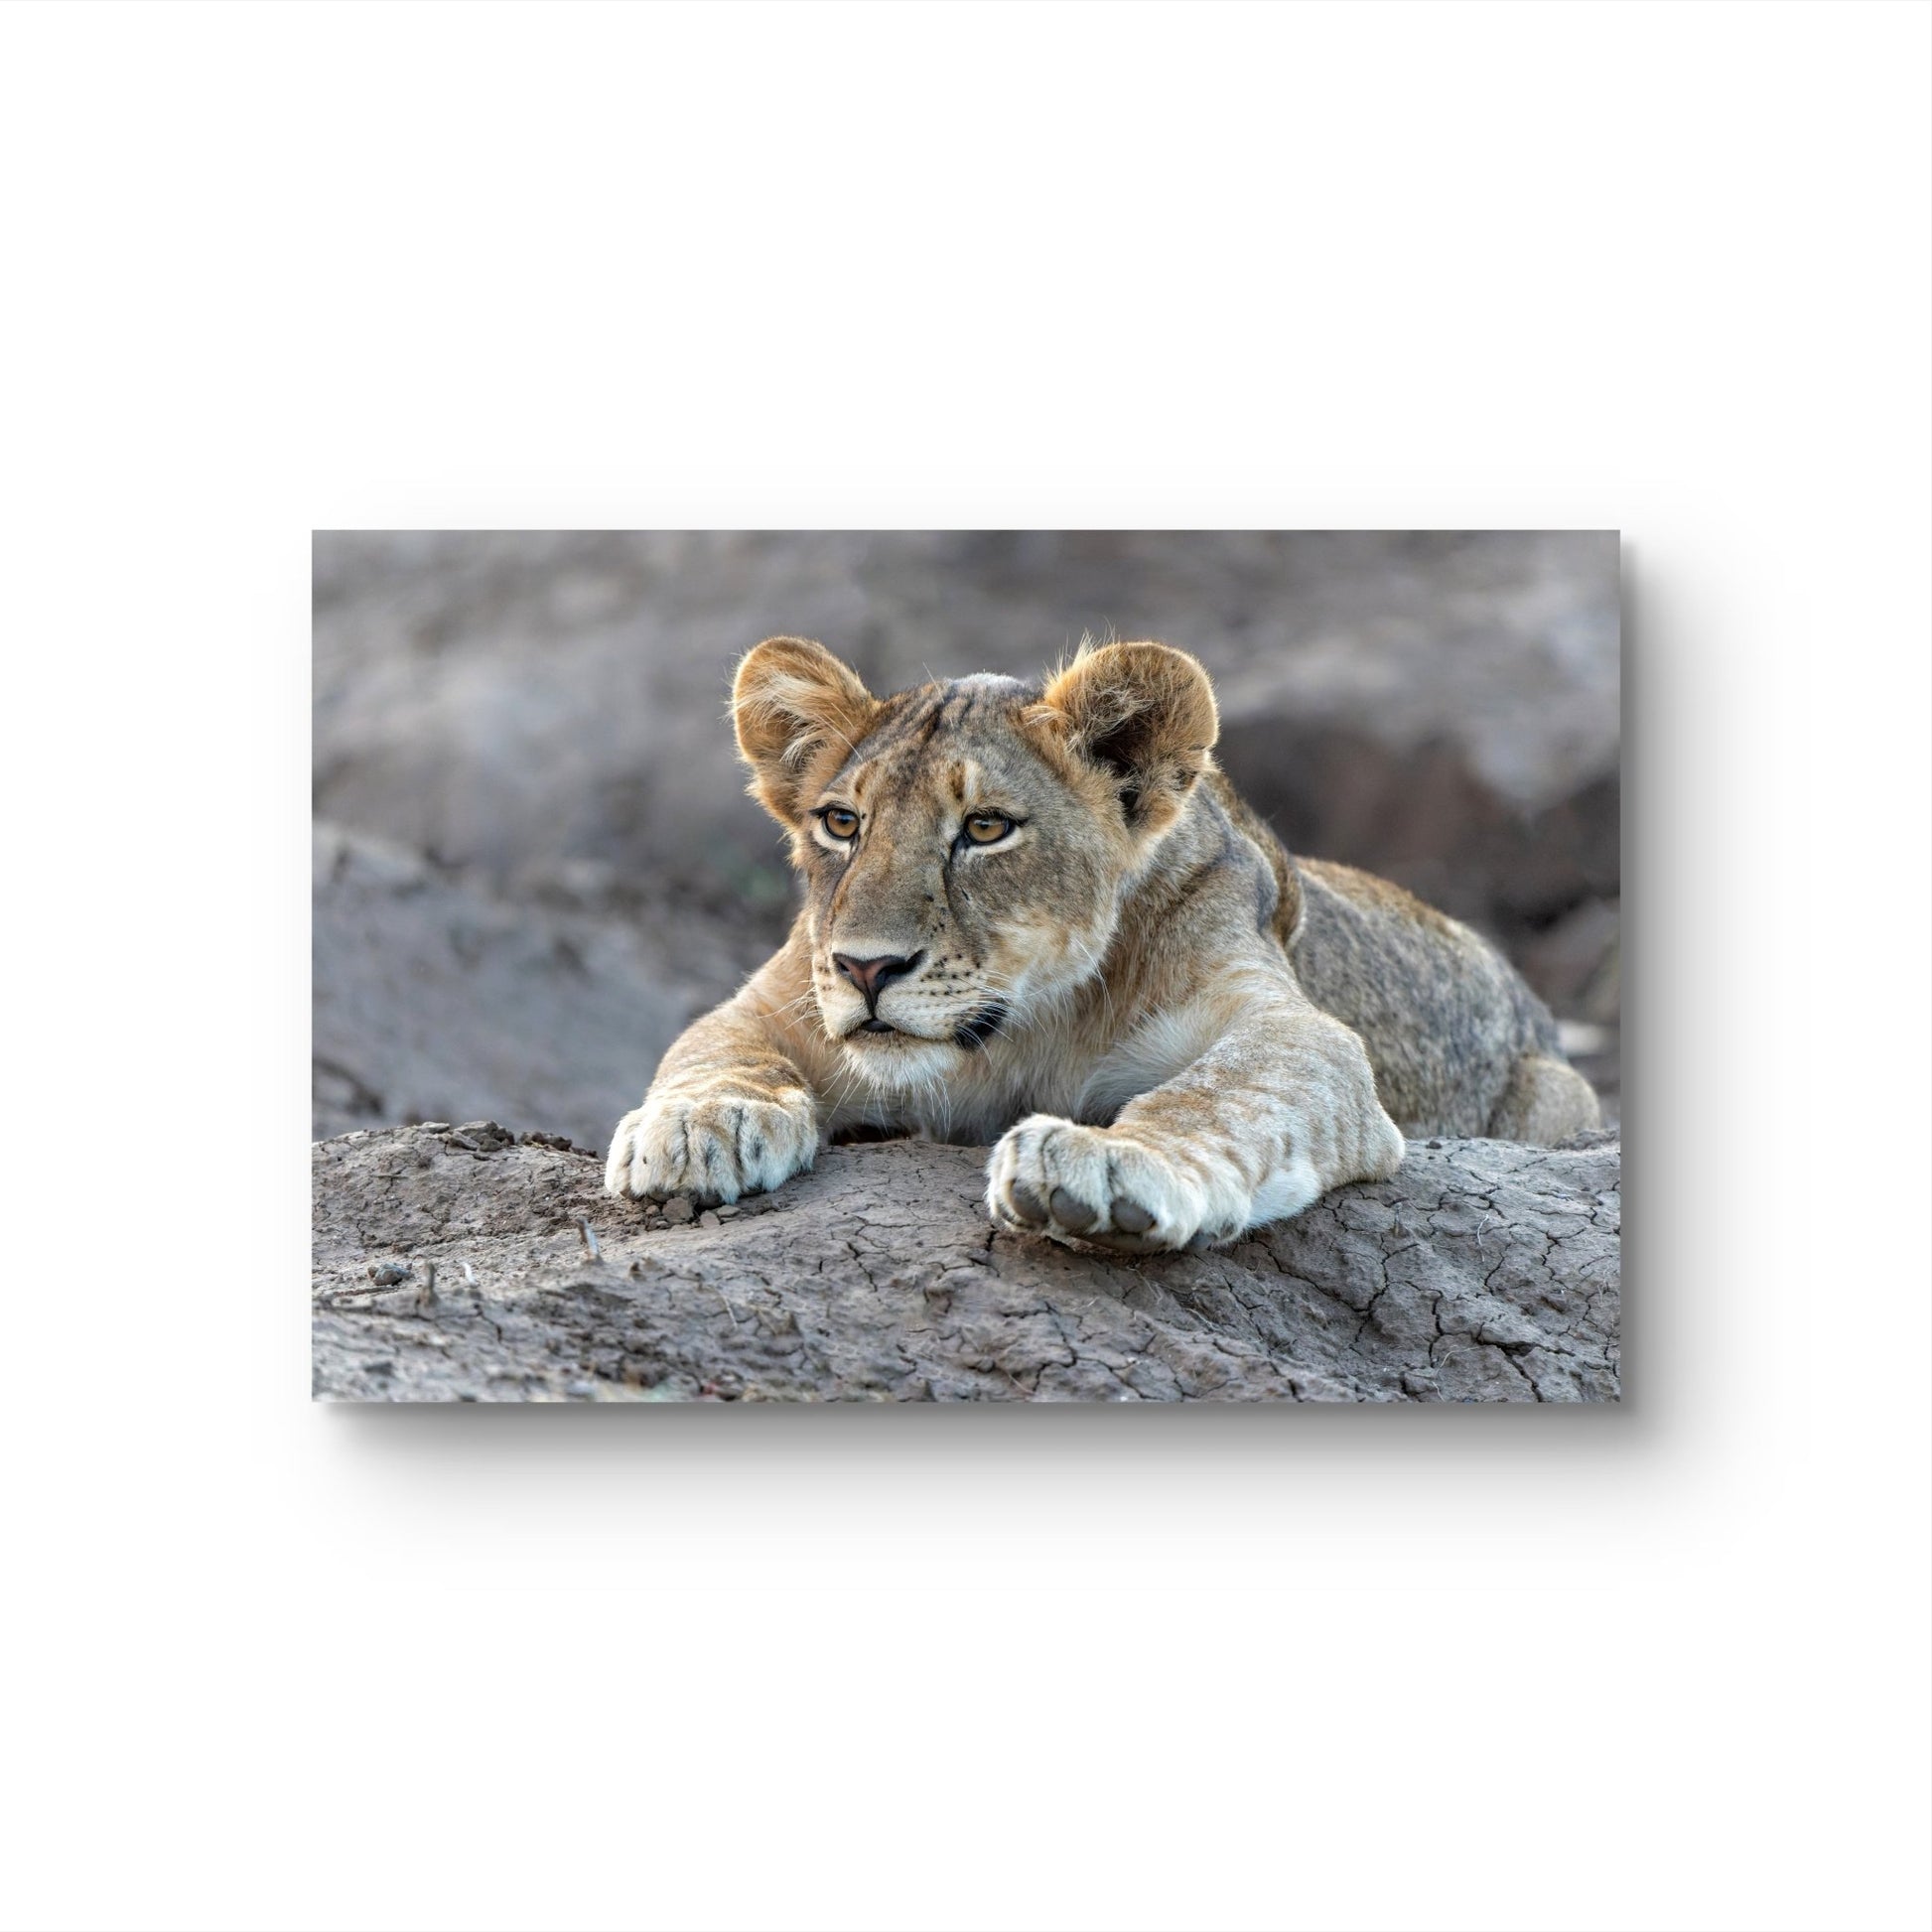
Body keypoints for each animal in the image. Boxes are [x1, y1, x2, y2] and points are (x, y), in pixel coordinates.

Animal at [604, 636, 1601, 1253]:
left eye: (986, 828)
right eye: (842, 823)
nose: (865, 968)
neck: (1020, 1033)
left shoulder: (1296, 1028)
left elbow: (1217, 1093)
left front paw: (1113, 1162)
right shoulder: (778, 998)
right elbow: (710, 1048)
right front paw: (698, 1127)